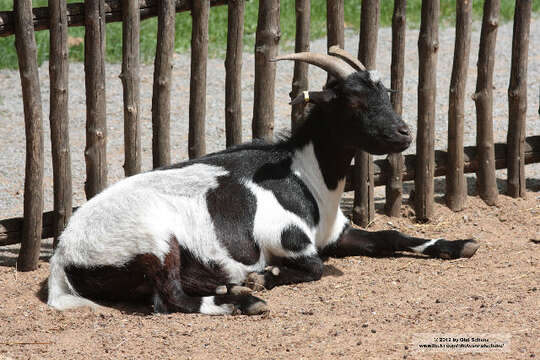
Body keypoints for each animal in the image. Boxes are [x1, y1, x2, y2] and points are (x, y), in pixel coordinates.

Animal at [46, 47, 476, 316]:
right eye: (353, 102)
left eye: (385, 92)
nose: (404, 133)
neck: (303, 175)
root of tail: (62, 258)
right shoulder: (286, 239)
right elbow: (315, 267)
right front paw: (264, 277)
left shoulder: (338, 233)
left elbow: (392, 235)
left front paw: (459, 244)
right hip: (154, 240)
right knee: (168, 298)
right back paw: (244, 301)